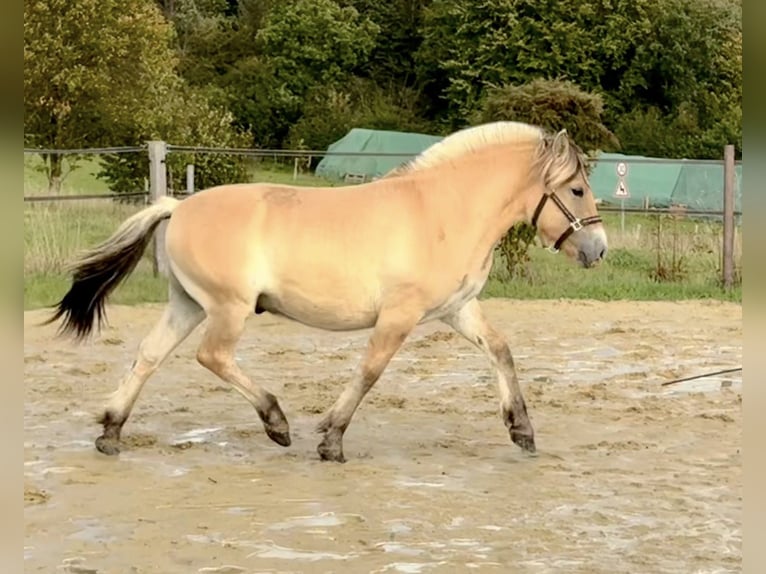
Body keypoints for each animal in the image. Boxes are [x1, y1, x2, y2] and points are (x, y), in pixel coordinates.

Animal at [44, 121, 607, 463]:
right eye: (577, 189)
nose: (598, 250)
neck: (442, 211)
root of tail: (177, 206)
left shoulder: (457, 309)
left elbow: (500, 350)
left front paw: (523, 432)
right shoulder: (400, 315)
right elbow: (369, 372)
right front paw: (331, 440)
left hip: (187, 305)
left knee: (149, 356)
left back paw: (111, 433)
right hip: (228, 309)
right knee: (213, 357)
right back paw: (276, 423)